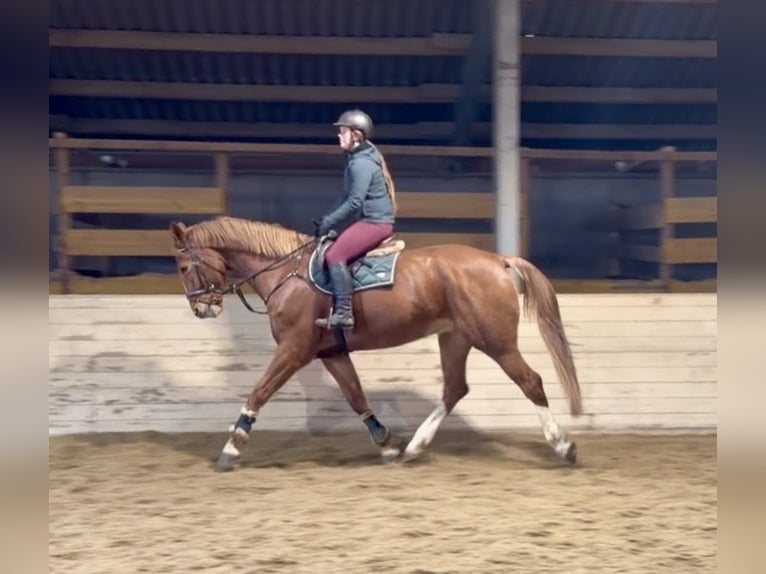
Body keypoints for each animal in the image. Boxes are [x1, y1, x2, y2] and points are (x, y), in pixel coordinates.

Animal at [169, 216, 583, 470]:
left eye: (185, 267)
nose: (201, 309)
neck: (287, 273)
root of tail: (498, 260)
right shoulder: (331, 353)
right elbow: (356, 397)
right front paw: (386, 443)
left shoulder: (294, 350)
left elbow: (259, 392)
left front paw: (231, 446)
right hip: (455, 338)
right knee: (454, 389)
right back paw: (415, 447)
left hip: (495, 341)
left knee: (531, 382)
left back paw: (563, 446)